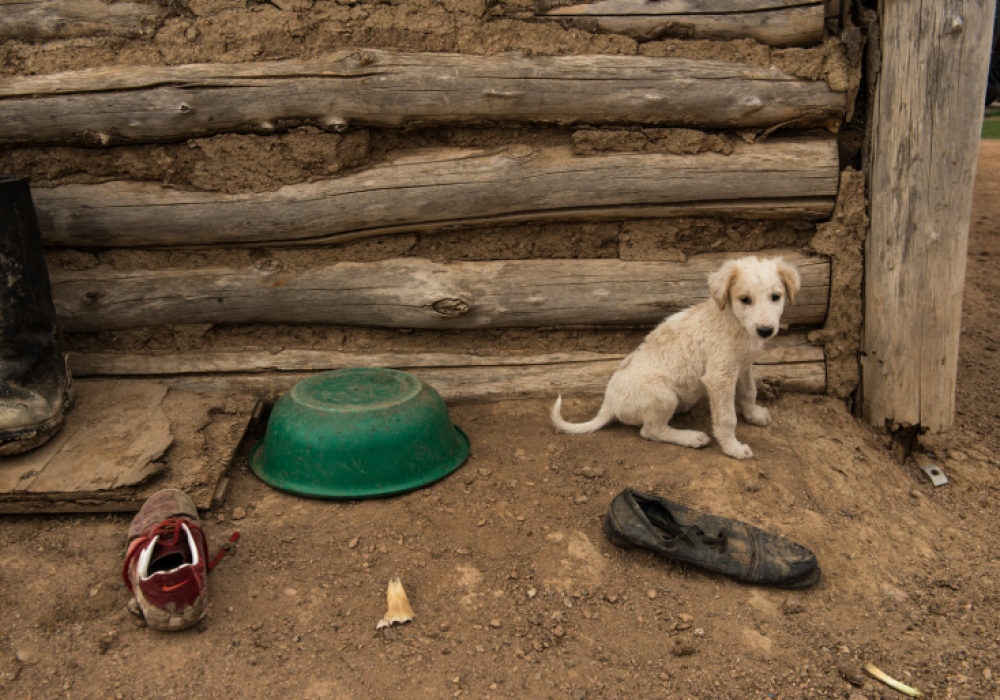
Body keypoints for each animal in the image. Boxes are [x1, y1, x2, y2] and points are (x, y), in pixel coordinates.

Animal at [552, 258, 800, 460]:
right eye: (745, 299)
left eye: (776, 297)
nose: (765, 330)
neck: (734, 322)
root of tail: (609, 404)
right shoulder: (719, 378)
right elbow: (727, 418)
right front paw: (733, 448)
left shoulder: (744, 366)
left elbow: (749, 392)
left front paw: (754, 414)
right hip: (663, 396)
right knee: (651, 430)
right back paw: (691, 437)